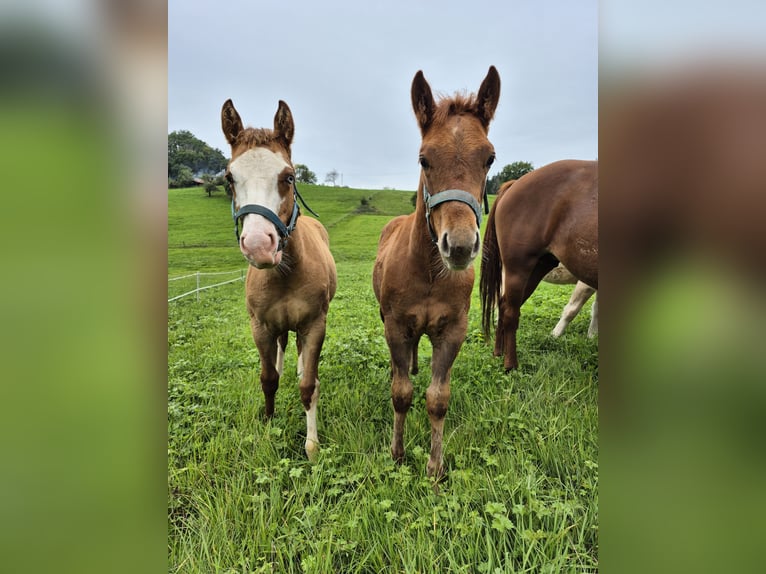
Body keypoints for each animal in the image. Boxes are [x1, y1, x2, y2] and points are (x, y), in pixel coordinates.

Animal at [220, 98, 337, 461]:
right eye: (229, 178)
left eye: (289, 176)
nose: (259, 244)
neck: (285, 273)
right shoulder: (260, 326)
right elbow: (268, 378)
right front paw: (269, 426)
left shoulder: (314, 324)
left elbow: (309, 385)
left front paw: (312, 444)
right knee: (284, 345)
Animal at [373, 66, 501, 478]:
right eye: (423, 159)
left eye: (490, 158)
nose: (458, 246)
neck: (430, 274)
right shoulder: (396, 325)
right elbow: (400, 394)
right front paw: (397, 453)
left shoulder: (452, 331)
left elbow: (438, 398)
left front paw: (434, 467)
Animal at [480, 160, 598, 370]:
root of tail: (514, 184)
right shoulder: (586, 282)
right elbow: (573, 309)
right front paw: (556, 335)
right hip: (517, 269)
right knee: (509, 312)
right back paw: (510, 364)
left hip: (537, 268)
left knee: (503, 304)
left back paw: (498, 353)